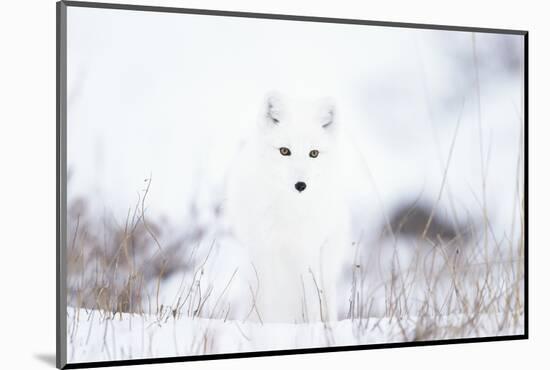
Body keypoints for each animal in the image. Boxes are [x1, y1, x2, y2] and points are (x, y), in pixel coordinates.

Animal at [225, 92, 352, 324]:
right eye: (285, 151)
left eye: (314, 153)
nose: (300, 185)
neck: (291, 212)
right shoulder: (267, 250)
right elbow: (270, 300)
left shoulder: (309, 251)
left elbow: (312, 298)